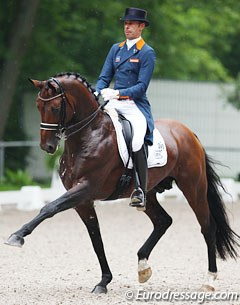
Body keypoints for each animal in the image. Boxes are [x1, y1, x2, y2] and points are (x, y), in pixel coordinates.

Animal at [4, 71, 239, 292]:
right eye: (37, 106)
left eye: (54, 108)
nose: (48, 147)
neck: (88, 136)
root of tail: (188, 132)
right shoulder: (82, 201)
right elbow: (96, 239)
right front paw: (104, 281)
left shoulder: (85, 189)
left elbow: (49, 208)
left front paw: (17, 236)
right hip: (148, 192)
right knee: (163, 221)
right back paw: (143, 267)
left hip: (193, 187)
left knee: (207, 227)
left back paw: (209, 280)